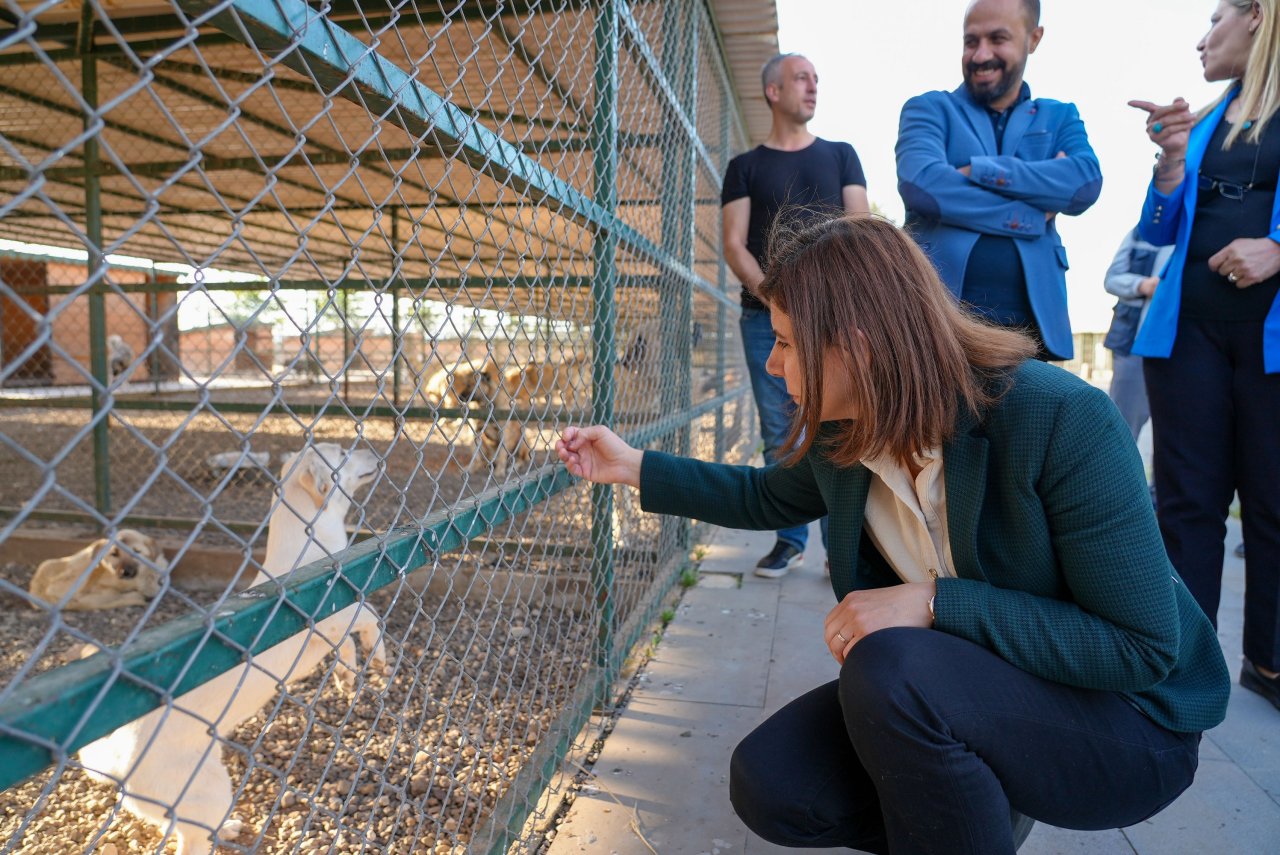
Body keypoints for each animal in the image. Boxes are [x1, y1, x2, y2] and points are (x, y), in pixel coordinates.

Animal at [73, 445, 384, 849]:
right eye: (344, 451)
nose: (375, 451)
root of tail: (118, 762)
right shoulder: (337, 615)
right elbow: (372, 619)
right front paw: (379, 658)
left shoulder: (332, 630)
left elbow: (347, 649)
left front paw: (347, 677)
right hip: (210, 791)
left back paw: (227, 829)